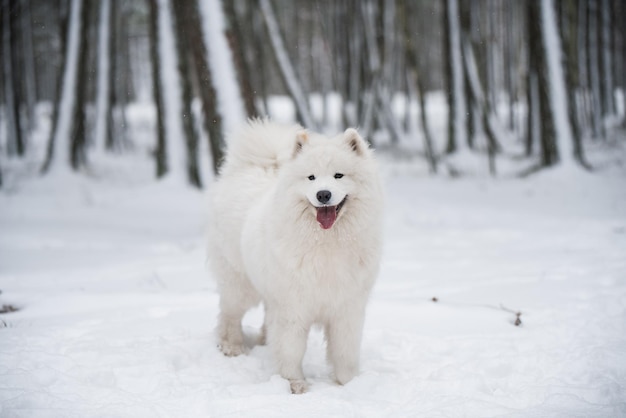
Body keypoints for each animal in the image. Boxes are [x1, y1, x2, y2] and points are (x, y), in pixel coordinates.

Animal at [207, 119, 382, 394]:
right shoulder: (293, 307)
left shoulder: (347, 308)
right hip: (239, 284)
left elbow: (345, 351)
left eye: (338, 175)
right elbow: (291, 349)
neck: (326, 243)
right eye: (311, 177)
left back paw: (263, 340)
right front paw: (294, 384)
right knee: (229, 316)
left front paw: (349, 383)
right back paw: (232, 347)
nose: (323, 194)